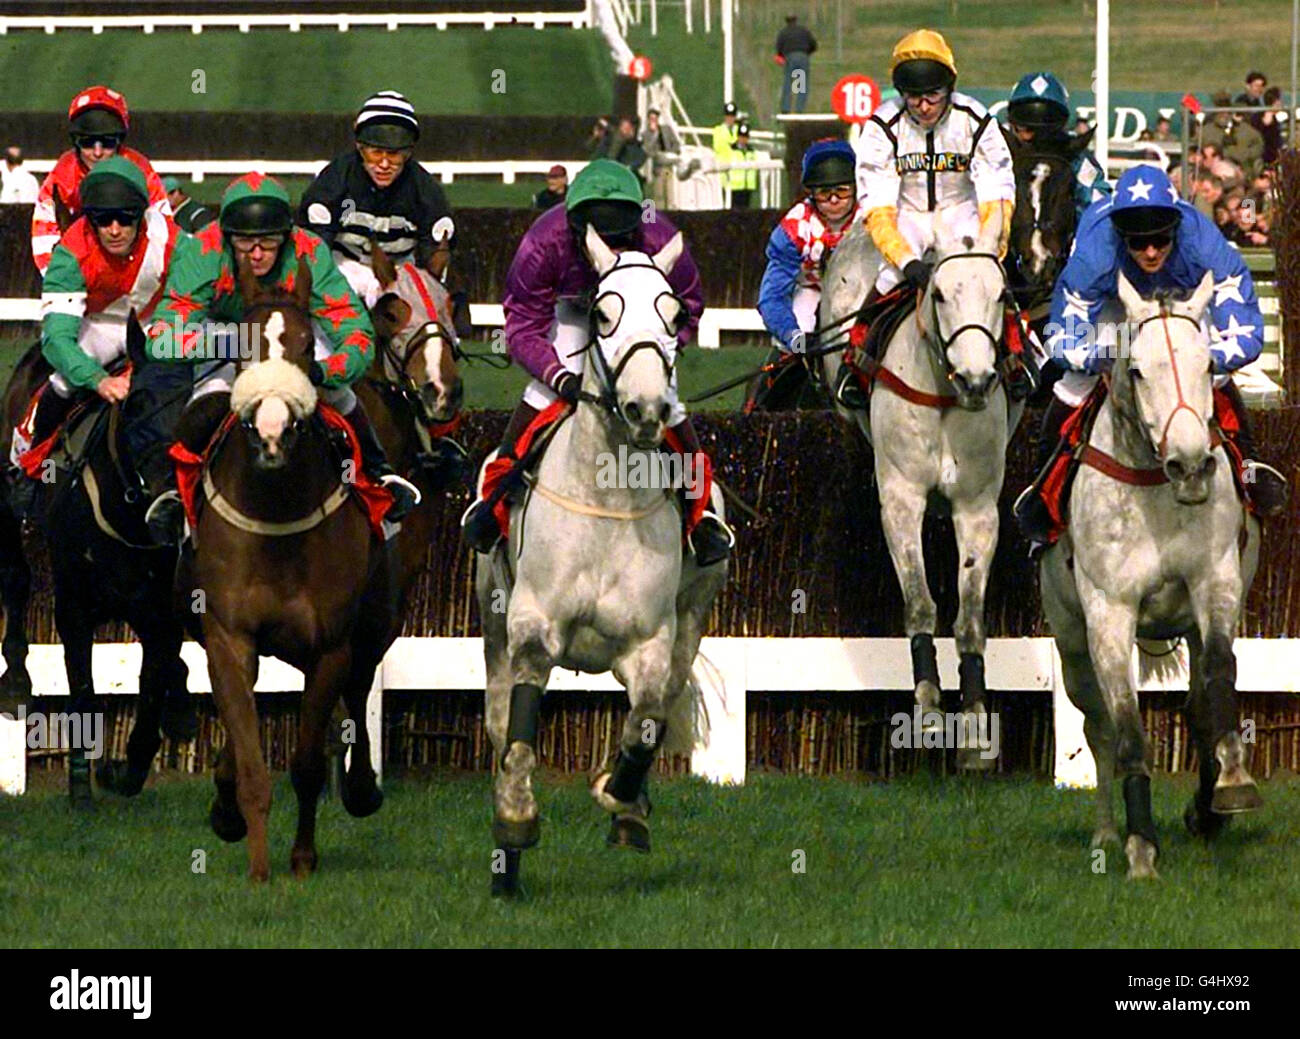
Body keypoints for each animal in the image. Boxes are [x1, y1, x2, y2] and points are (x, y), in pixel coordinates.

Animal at [1034, 267, 1258, 879]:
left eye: (1207, 365)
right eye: (1137, 369)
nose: (1191, 464)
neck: (1157, 489)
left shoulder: (1215, 585)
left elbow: (1218, 682)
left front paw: (1227, 786)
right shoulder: (1109, 614)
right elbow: (1128, 732)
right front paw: (1141, 848)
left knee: (1196, 703)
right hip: (1071, 641)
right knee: (1098, 726)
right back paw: (1108, 831)